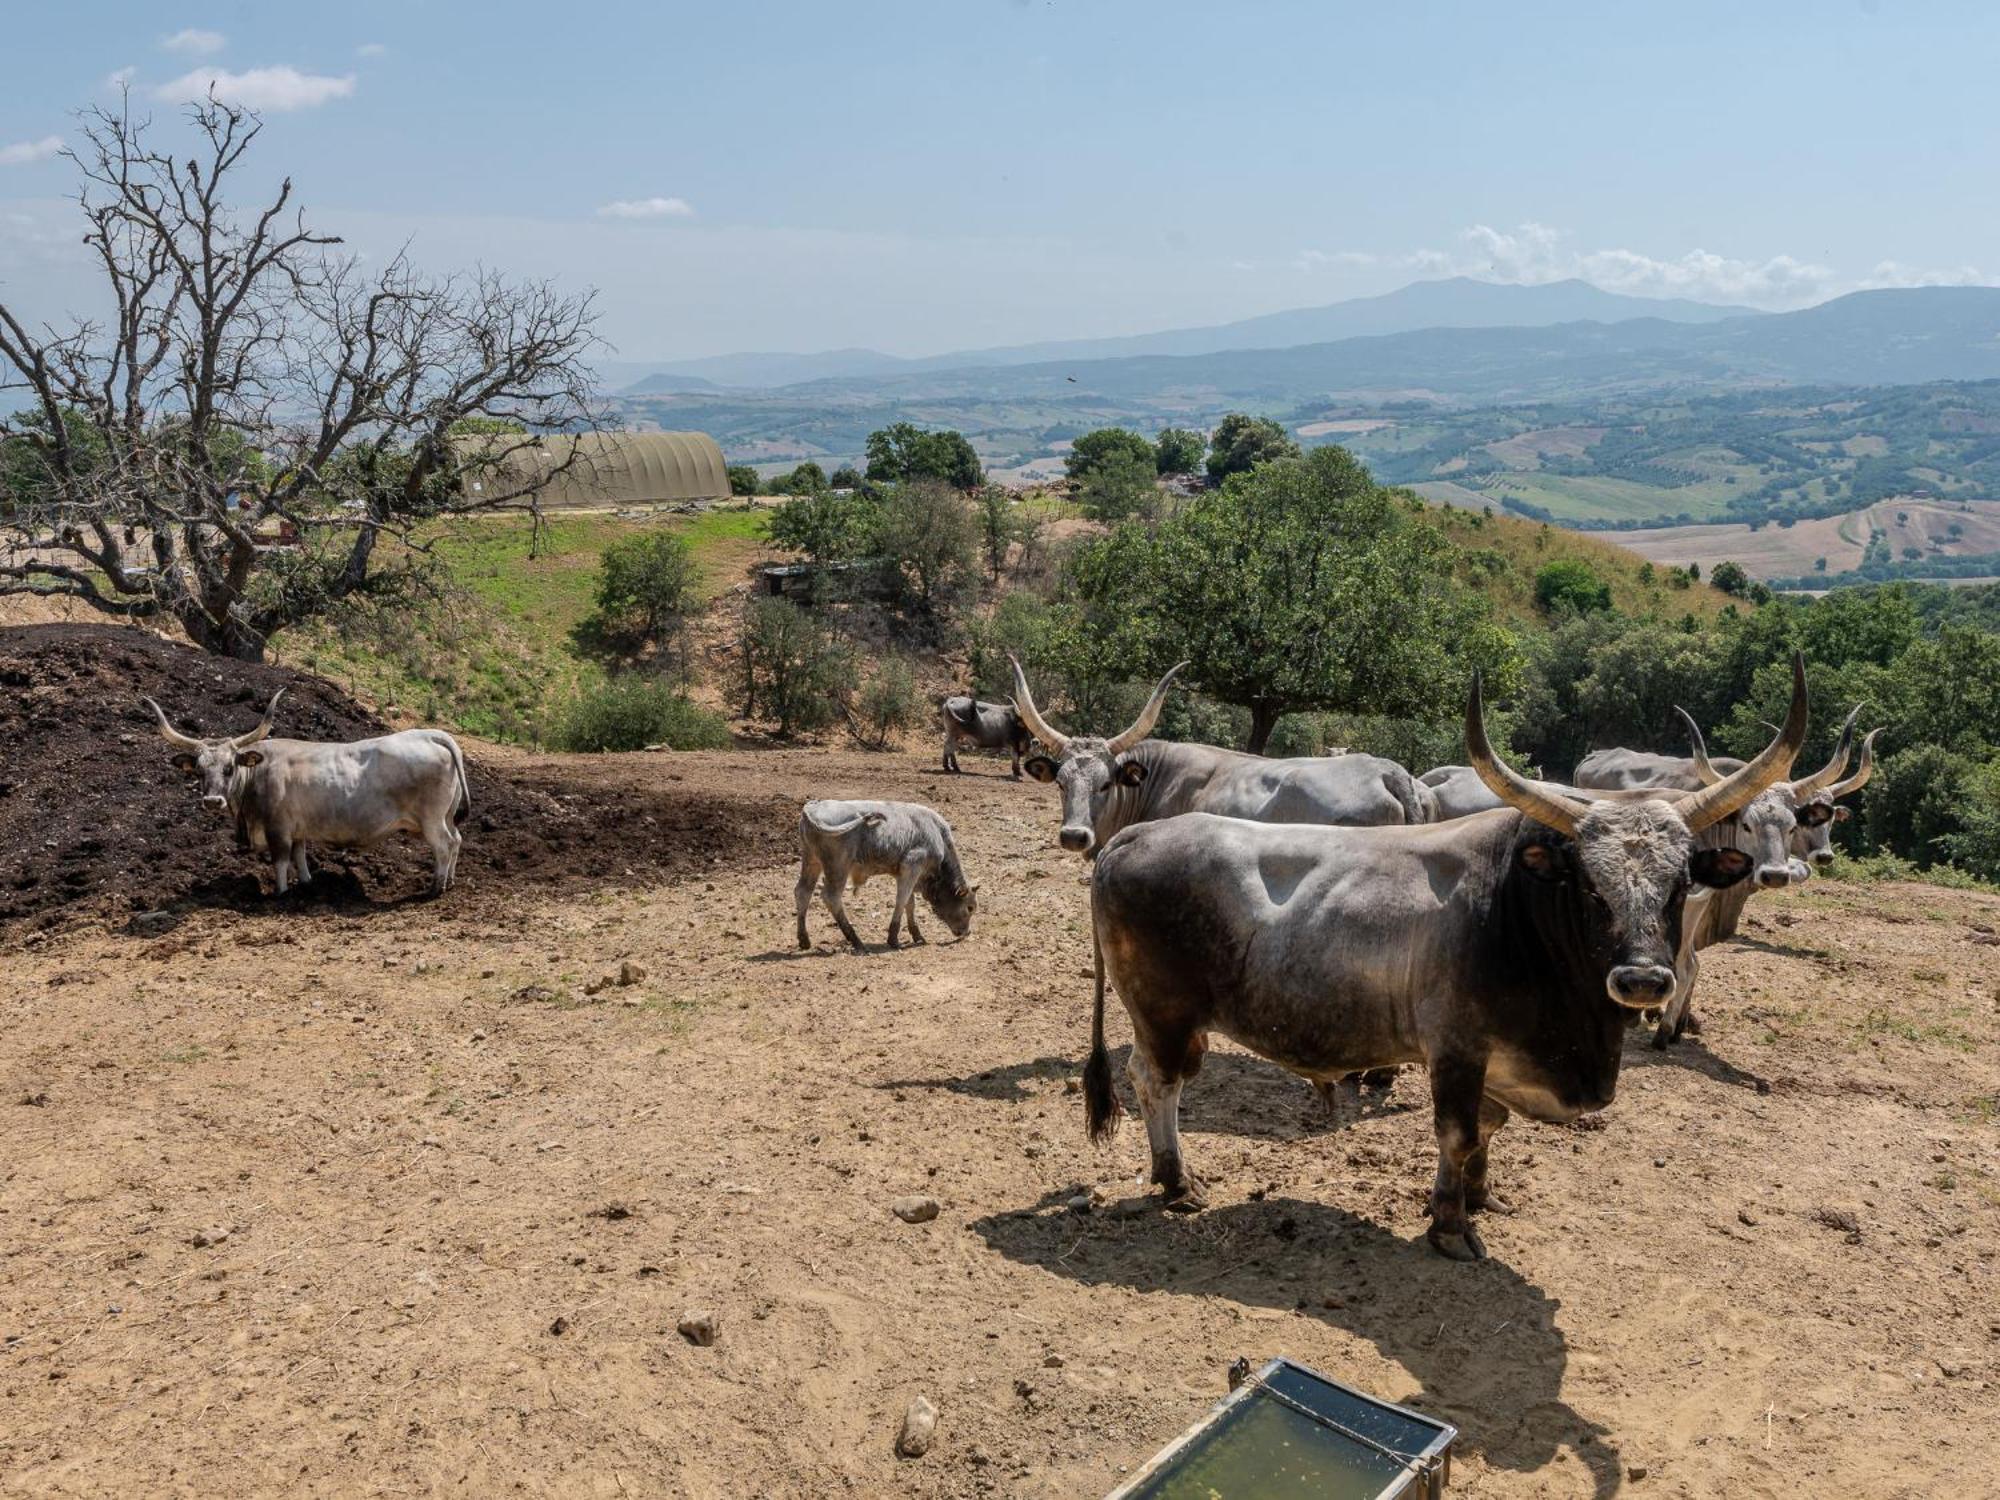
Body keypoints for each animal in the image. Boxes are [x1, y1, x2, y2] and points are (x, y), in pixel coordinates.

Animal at [146, 692, 470, 892]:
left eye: (229, 768)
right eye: (199, 770)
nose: (212, 801)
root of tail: (429, 734)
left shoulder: (278, 829)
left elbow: (280, 862)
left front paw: (281, 893)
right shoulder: (298, 829)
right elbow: (300, 857)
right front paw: (305, 884)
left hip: (431, 819)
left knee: (443, 845)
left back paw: (436, 887)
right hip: (447, 816)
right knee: (456, 840)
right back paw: (451, 881)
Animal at [788, 800, 976, 952]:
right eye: (970, 907)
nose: (966, 933)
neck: (937, 834)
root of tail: (812, 808)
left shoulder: (905, 874)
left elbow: (910, 904)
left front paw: (917, 935)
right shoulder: (912, 866)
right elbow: (902, 901)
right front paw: (893, 938)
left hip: (812, 861)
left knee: (803, 892)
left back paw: (804, 939)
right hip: (838, 868)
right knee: (831, 897)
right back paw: (856, 941)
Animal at [1080, 664, 1816, 1264]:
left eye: (1680, 884)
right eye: (1589, 886)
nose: (1643, 980)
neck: (1519, 911)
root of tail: (1131, 838)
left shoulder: (1498, 1063)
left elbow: (1489, 1131)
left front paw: (1481, 1196)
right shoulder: (1457, 1052)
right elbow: (1457, 1135)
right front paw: (1451, 1225)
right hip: (1163, 1015)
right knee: (1155, 1082)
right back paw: (1176, 1179)